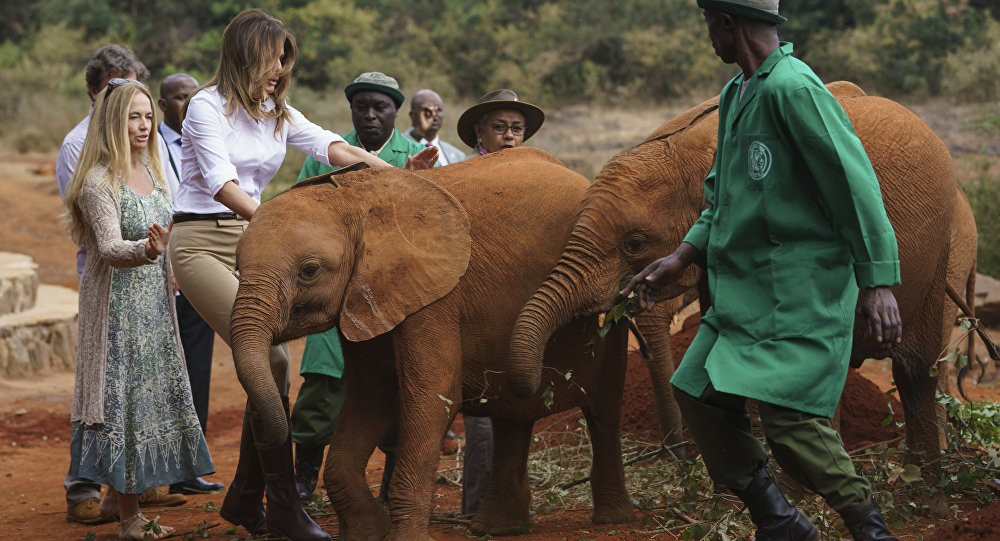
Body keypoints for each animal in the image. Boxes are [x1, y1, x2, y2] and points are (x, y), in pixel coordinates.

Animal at [229, 146, 680, 536]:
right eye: (234, 266)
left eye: (308, 271)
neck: (356, 200)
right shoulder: (369, 295)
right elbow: (373, 395)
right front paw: (367, 532)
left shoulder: (436, 295)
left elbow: (432, 396)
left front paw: (399, 537)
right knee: (513, 418)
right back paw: (498, 529)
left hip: (612, 297)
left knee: (603, 410)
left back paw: (612, 520)